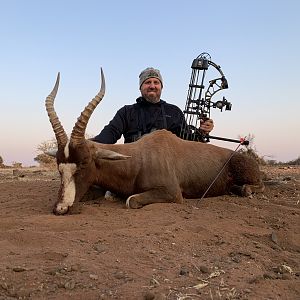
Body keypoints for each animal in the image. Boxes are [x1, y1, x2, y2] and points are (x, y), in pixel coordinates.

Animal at [45, 69, 264, 214]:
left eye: (83, 164)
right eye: (59, 166)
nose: (60, 208)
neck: (140, 158)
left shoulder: (173, 193)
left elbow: (130, 200)